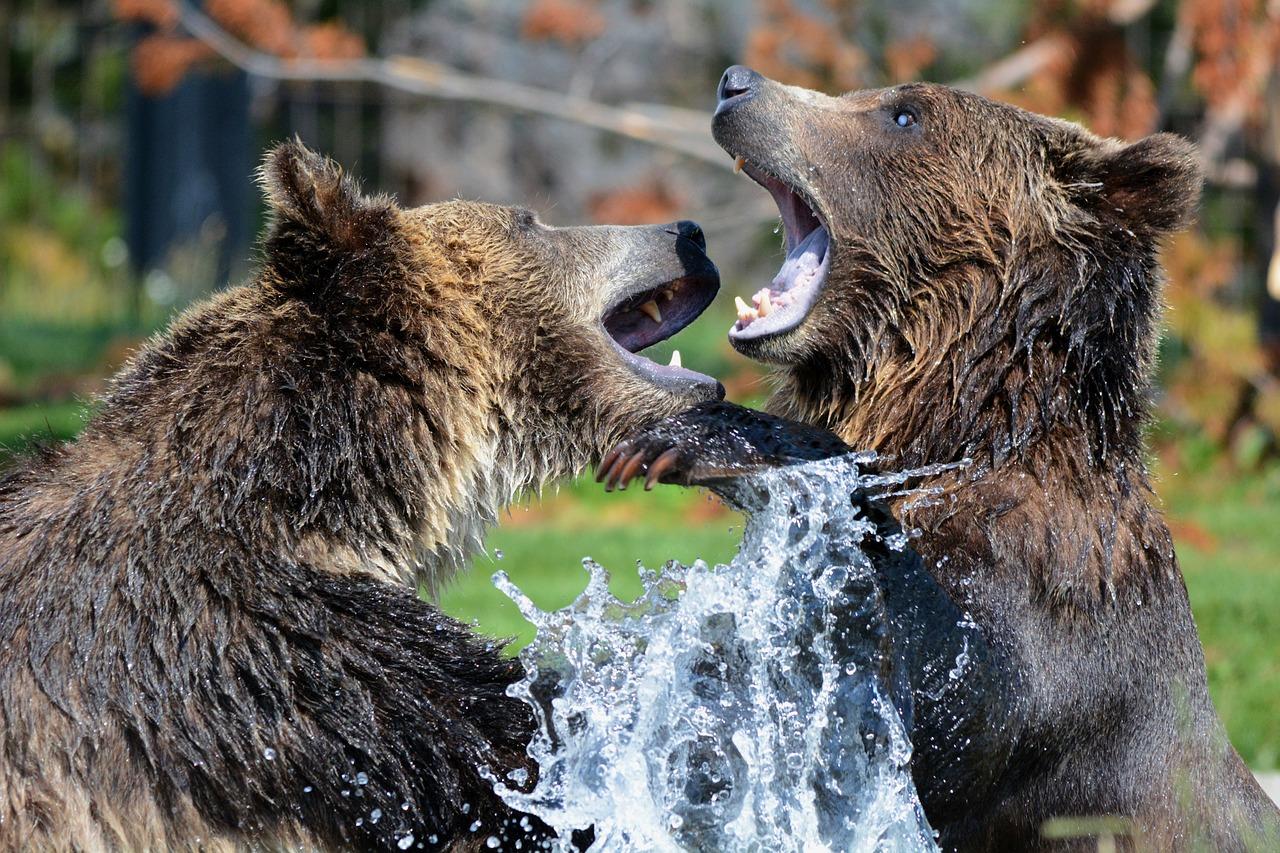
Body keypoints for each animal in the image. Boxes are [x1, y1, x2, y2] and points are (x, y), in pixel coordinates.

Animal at [604, 68, 1280, 850]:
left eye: (904, 114)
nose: (738, 85)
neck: (961, 429)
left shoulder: (1050, 617)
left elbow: (946, 690)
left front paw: (690, 439)